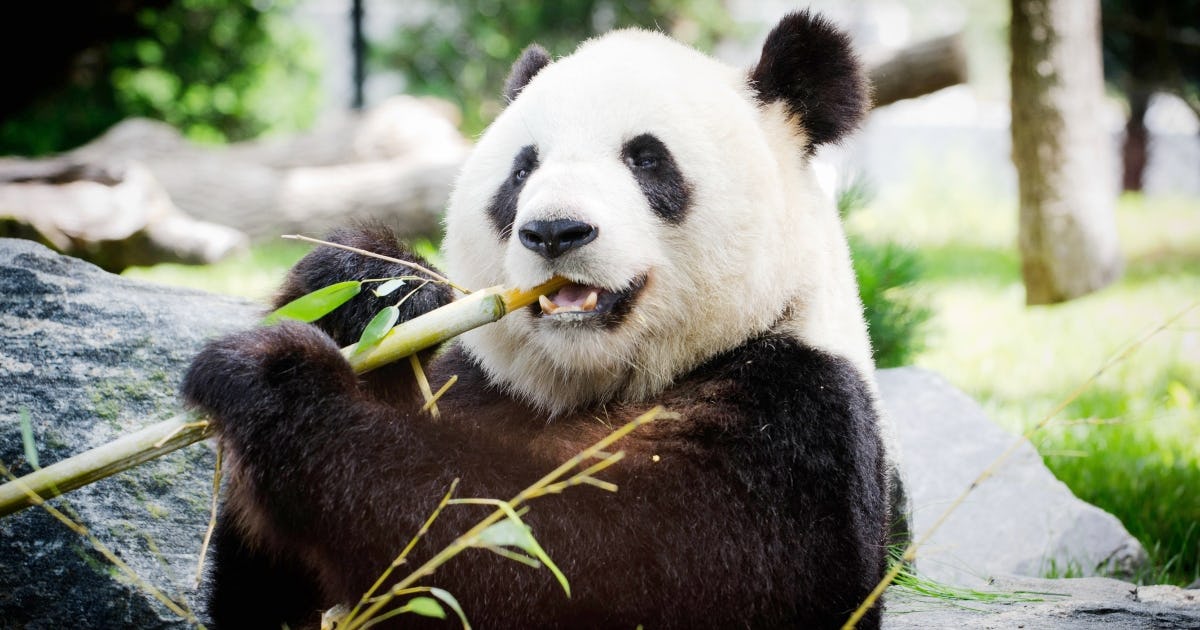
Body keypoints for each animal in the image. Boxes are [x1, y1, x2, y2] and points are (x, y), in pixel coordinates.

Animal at [182, 9, 892, 630]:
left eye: (647, 159)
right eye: (523, 168)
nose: (554, 231)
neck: (588, 384)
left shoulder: (792, 429)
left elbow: (563, 559)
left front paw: (274, 382)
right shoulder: (479, 385)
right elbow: (266, 604)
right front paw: (368, 292)